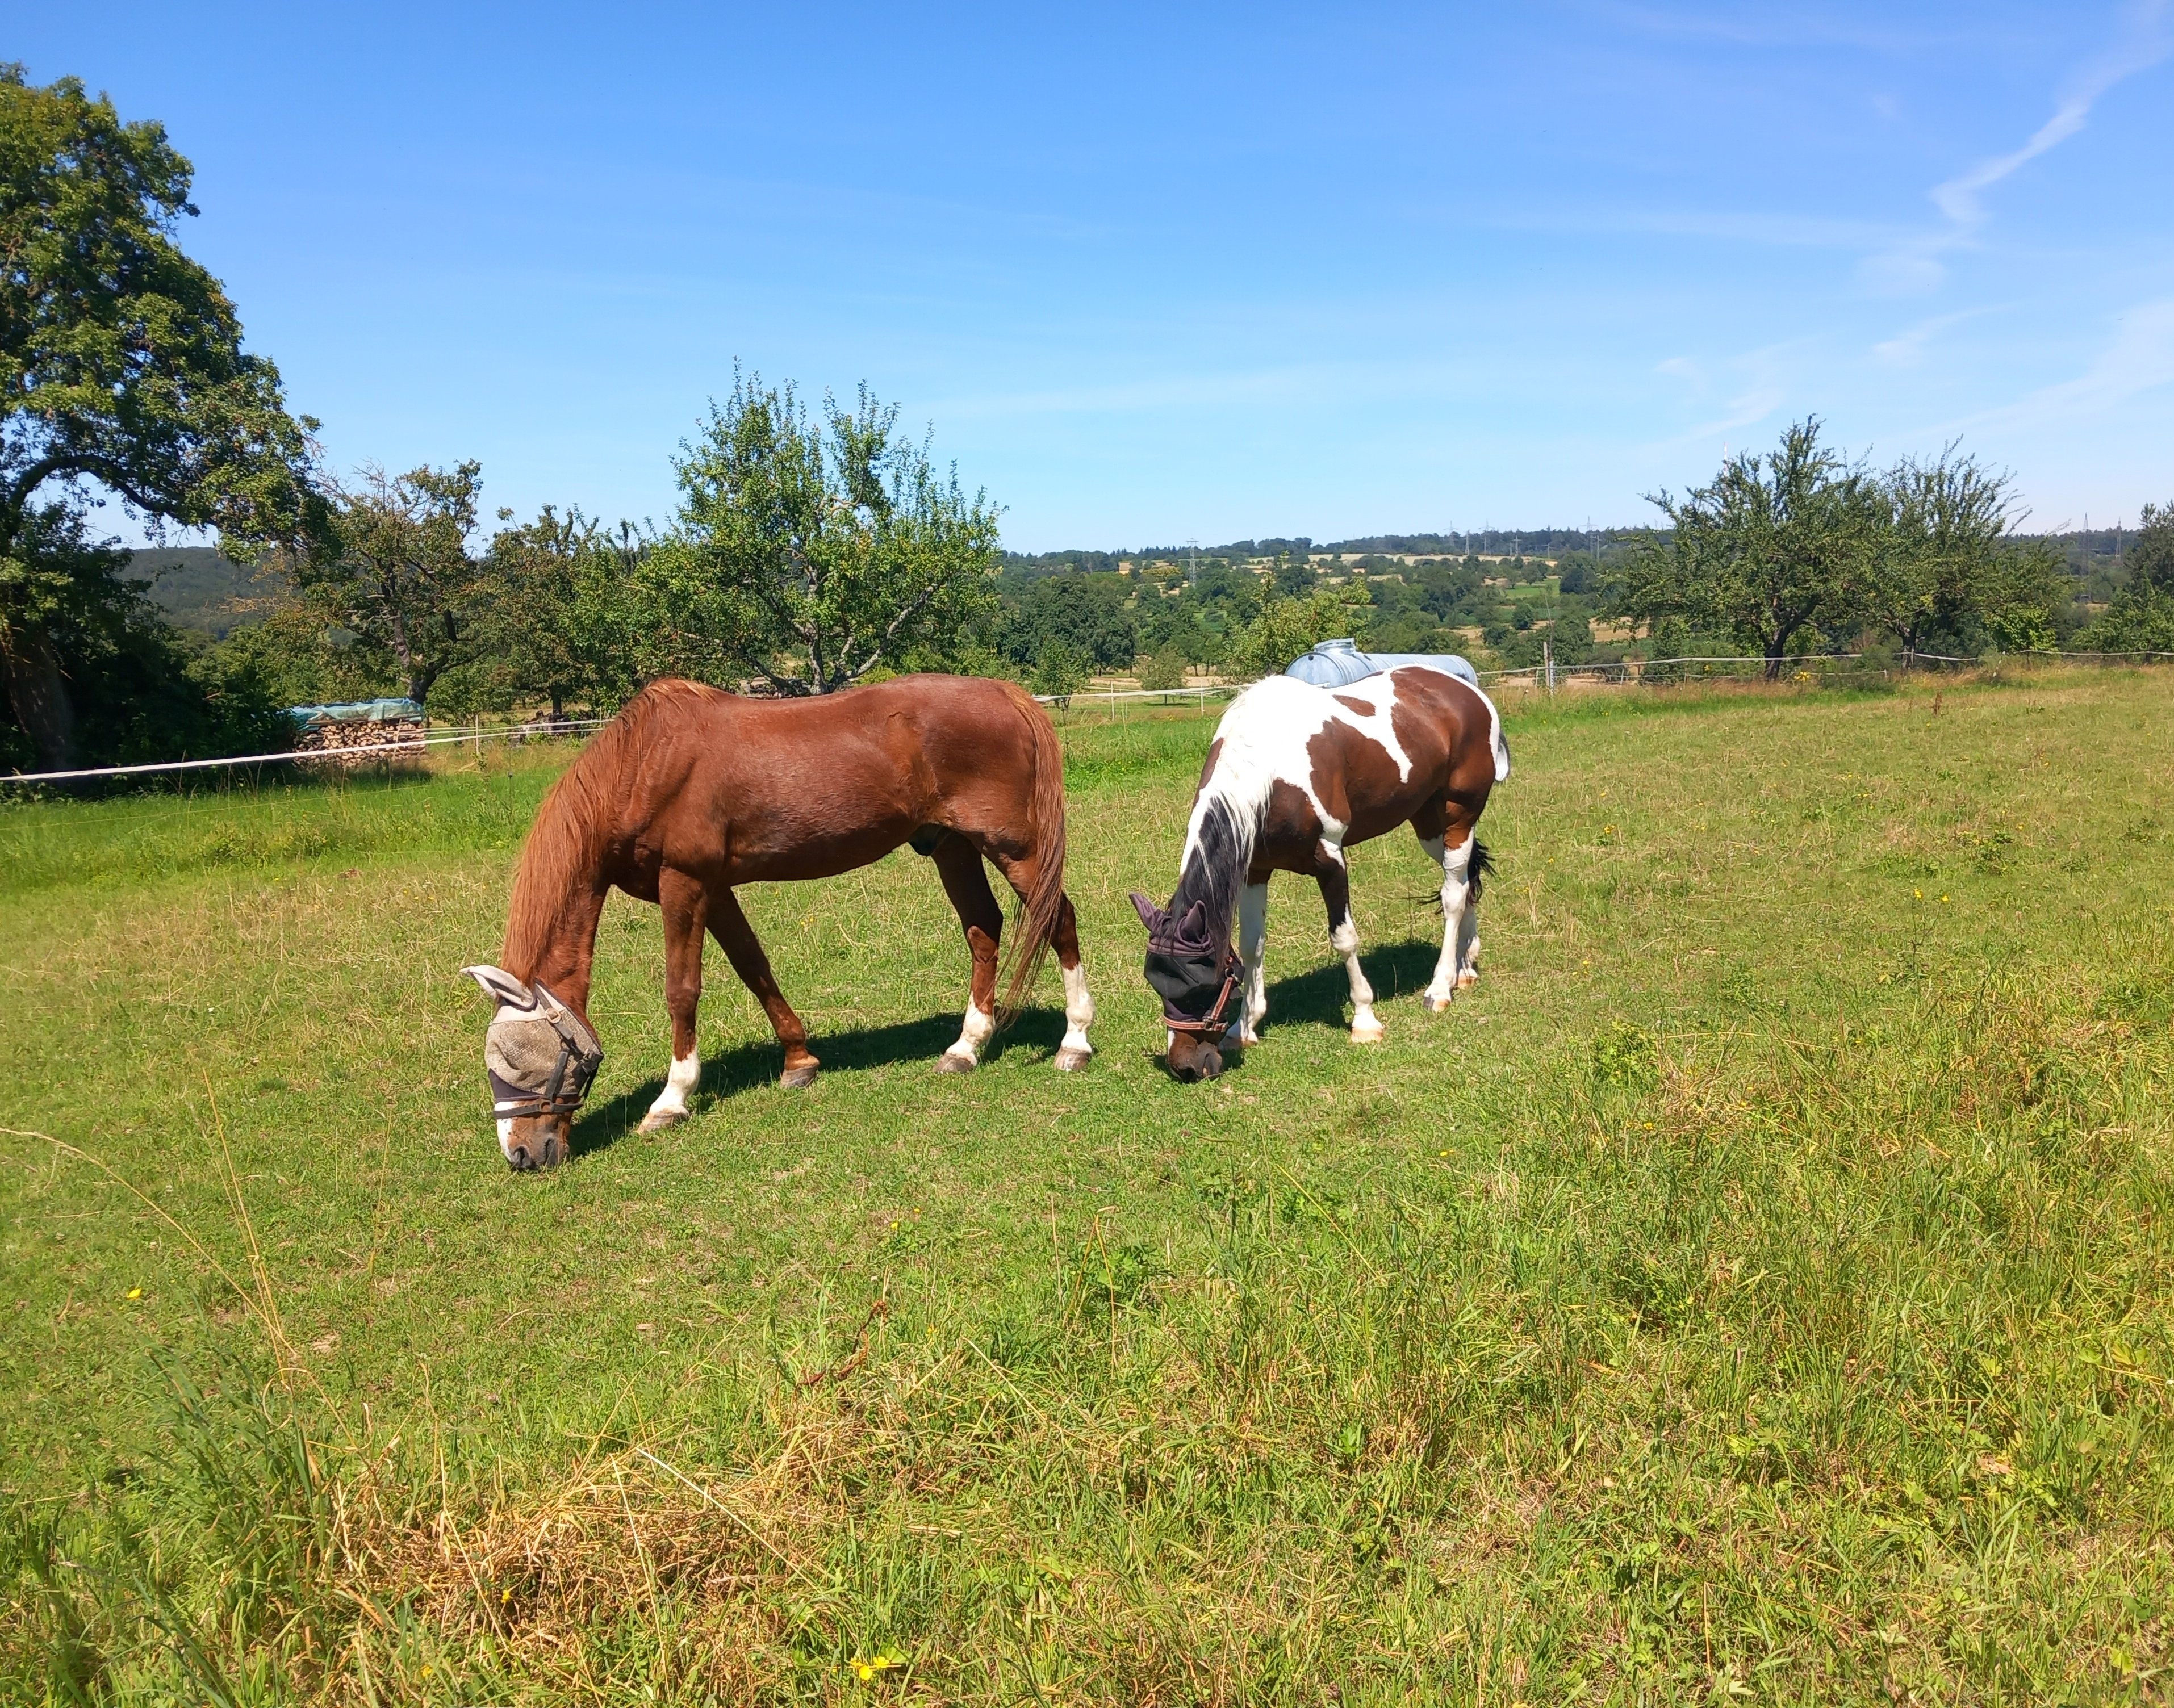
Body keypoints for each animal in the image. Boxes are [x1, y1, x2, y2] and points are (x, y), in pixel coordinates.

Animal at [463, 674, 1094, 1169]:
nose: (521, 1153)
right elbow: (754, 966)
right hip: (953, 846)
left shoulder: (684, 883)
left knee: (1059, 921)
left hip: (1015, 848)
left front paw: (672, 1100)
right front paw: (799, 1060)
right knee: (983, 928)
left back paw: (1075, 1042)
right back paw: (967, 1047)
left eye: (512, 1057)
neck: (645, 763)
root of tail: (1006, 693)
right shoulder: (716, 890)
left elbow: (682, 989)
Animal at [1129, 665, 1508, 1082]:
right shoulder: (1255, 870)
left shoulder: (1330, 859)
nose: (1185, 1067)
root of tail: (1468, 691)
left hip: (1459, 817)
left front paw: (1364, 1021)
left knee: (1453, 896)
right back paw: (1465, 969)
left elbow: (1344, 938)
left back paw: (1440, 989)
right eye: (1155, 983)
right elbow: (1252, 944)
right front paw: (1244, 1028)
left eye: (1200, 987)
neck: (1271, 765)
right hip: (1429, 824)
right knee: (1465, 882)